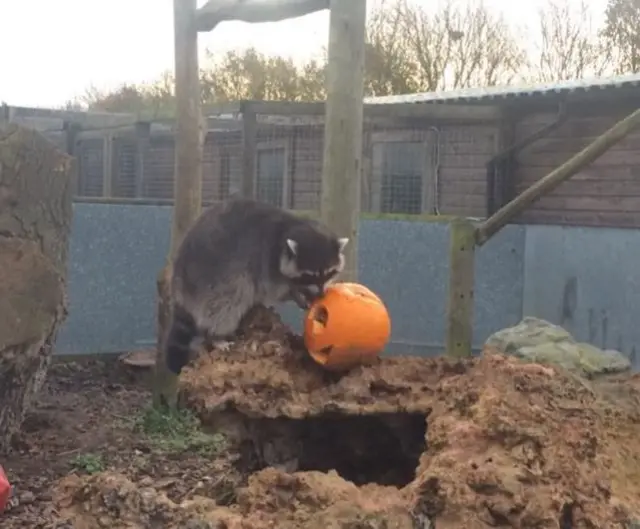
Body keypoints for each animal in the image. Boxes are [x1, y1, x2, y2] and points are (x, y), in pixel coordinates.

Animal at [162, 196, 348, 374]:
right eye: (309, 275)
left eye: (329, 273)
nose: (321, 294)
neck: (288, 228)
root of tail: (179, 278)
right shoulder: (266, 263)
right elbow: (275, 290)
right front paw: (296, 293)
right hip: (212, 275)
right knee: (229, 300)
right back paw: (216, 335)